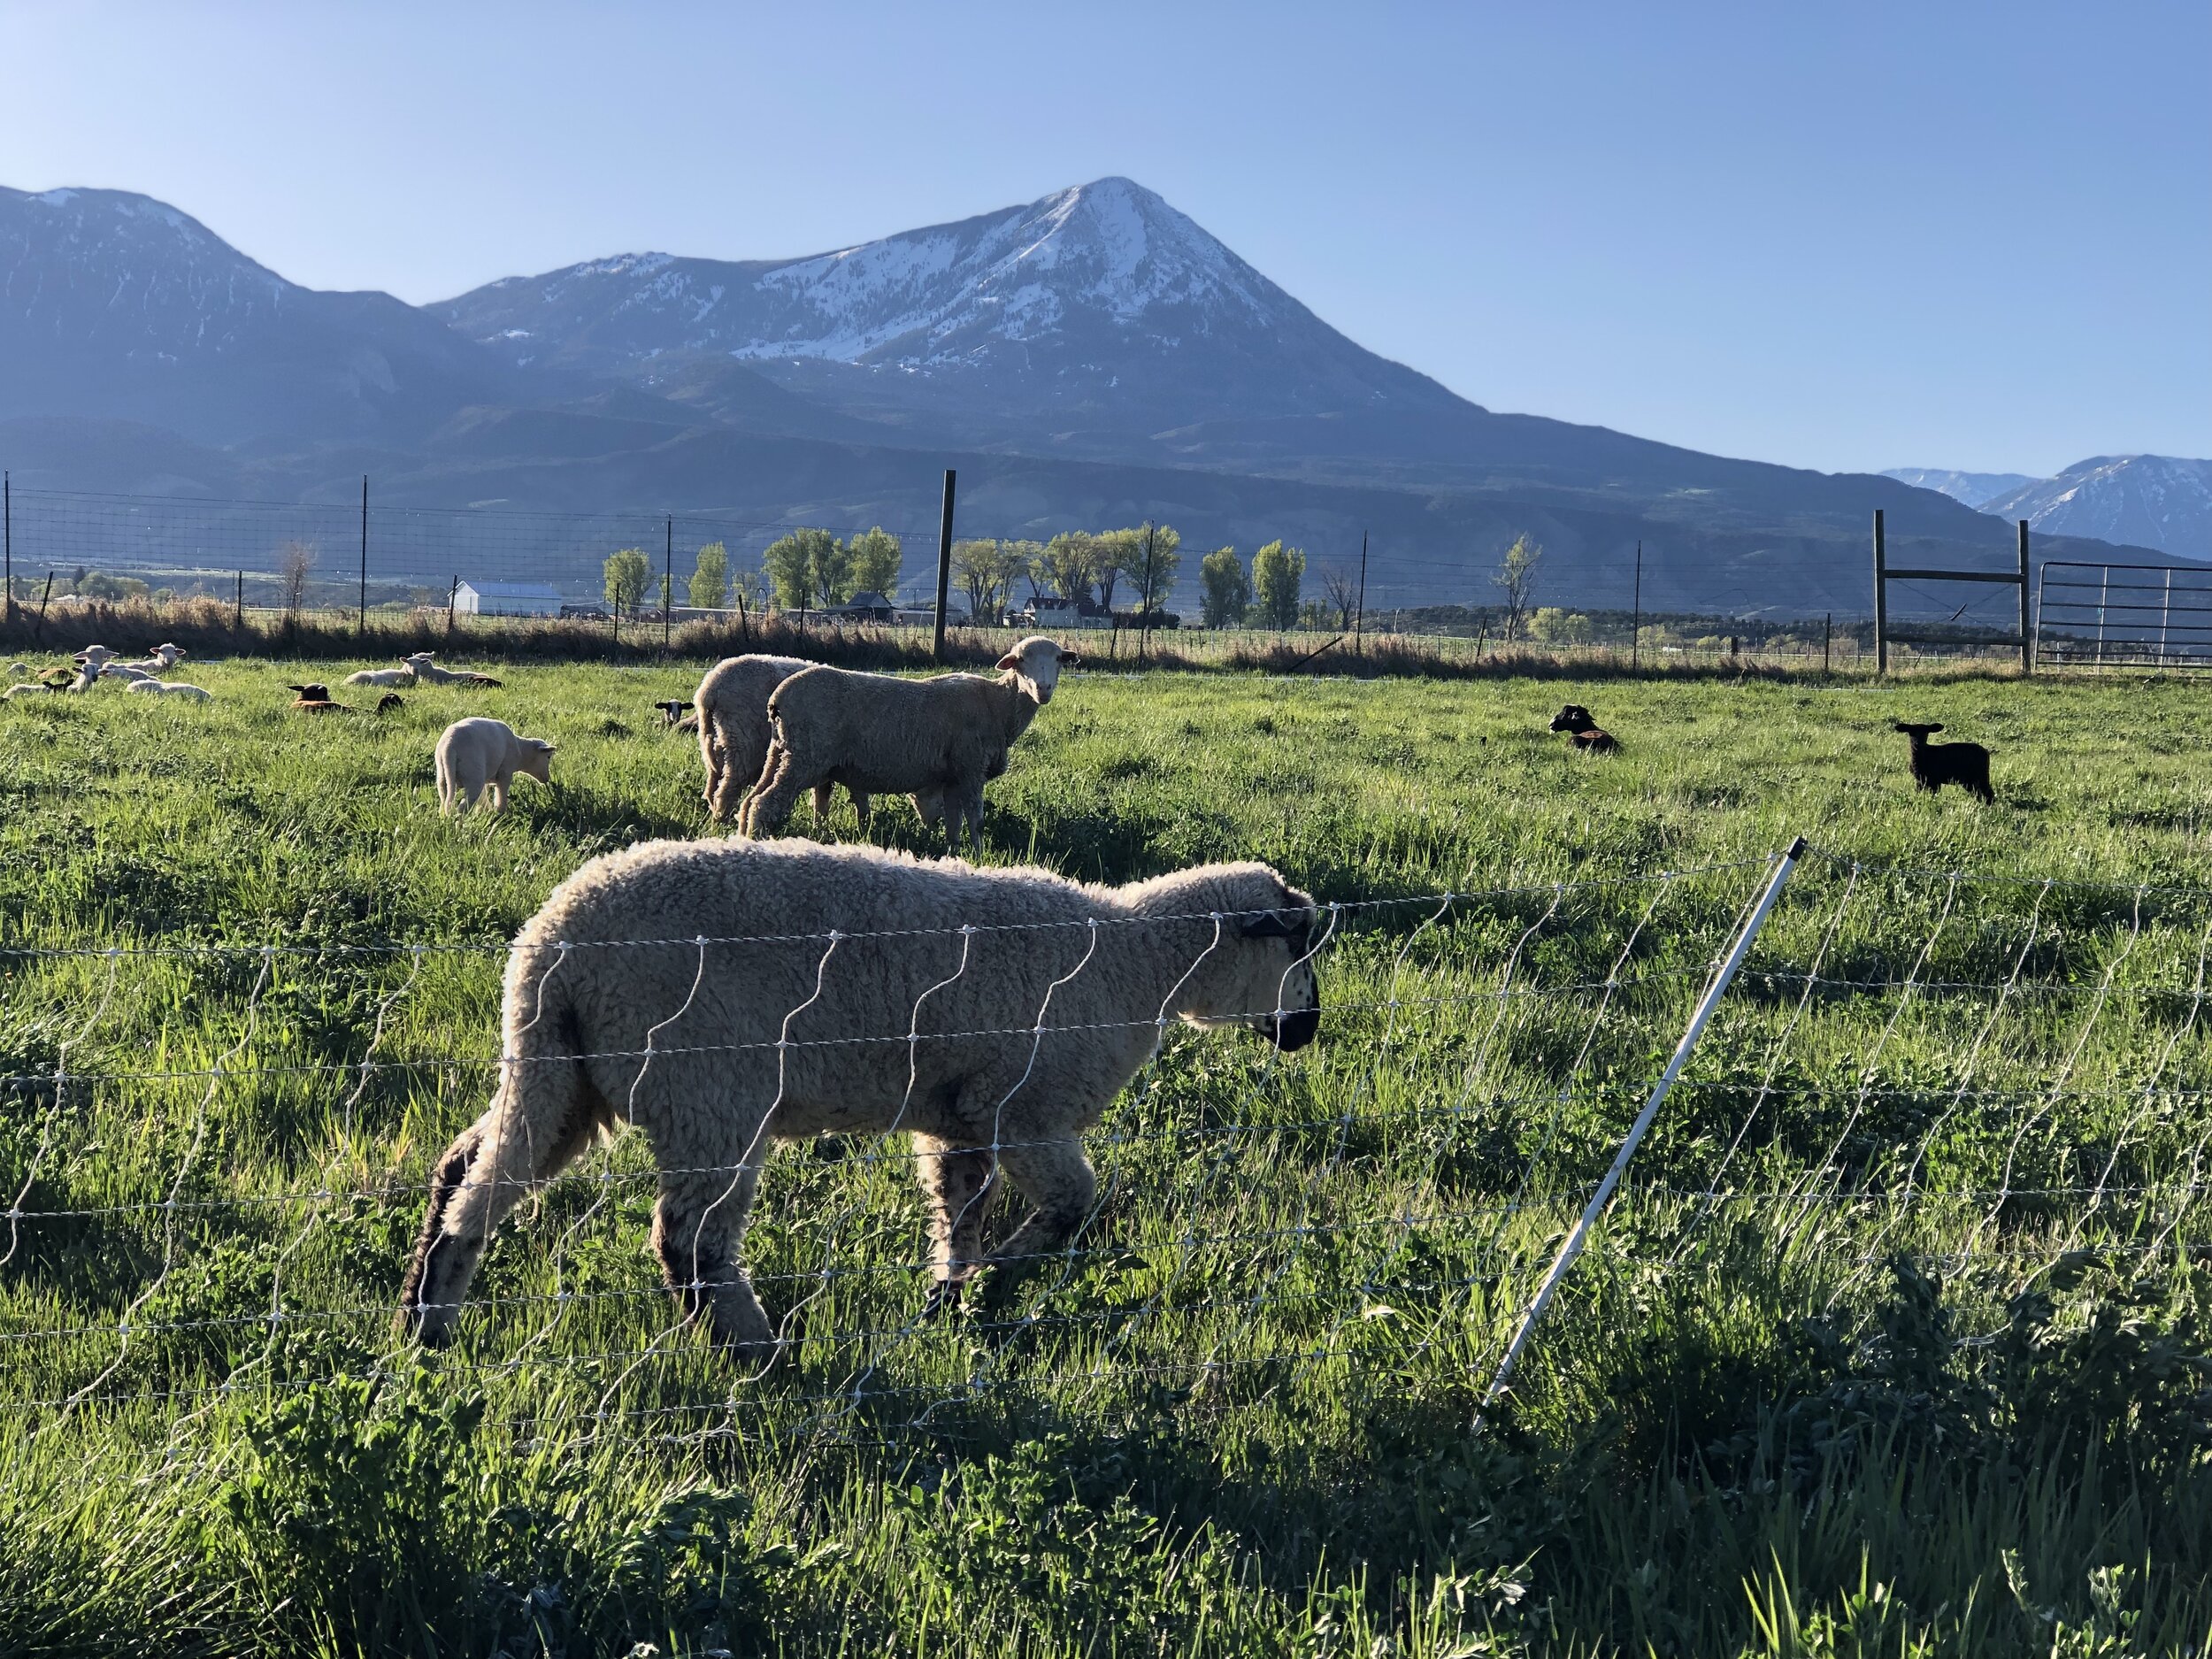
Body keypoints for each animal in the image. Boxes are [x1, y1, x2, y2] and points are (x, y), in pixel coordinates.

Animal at [399, 837, 1322, 1357]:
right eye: (1297, 947)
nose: (1308, 1028)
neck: (1138, 963)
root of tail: (551, 945)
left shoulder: (962, 1115)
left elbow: (959, 1213)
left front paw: (951, 1299)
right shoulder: (1024, 1109)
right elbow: (1074, 1207)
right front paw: (999, 1283)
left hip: (561, 1073)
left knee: (468, 1173)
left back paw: (427, 1320)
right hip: (711, 1090)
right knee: (689, 1241)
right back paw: (760, 1354)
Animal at [435, 716, 555, 813]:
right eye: (548, 757)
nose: (547, 779)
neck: (521, 752)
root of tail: (449, 746)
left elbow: (483, 796)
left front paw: (484, 812)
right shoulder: (505, 771)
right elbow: (501, 794)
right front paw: (499, 813)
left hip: (443, 775)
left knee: (444, 801)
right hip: (473, 774)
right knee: (462, 808)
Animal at [742, 637, 1078, 853]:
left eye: (1058, 659)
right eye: (1020, 661)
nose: (1043, 689)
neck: (997, 704)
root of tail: (777, 700)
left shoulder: (953, 775)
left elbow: (954, 821)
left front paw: (954, 853)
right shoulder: (971, 768)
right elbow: (976, 820)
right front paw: (979, 855)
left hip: (782, 751)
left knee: (751, 799)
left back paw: (742, 836)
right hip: (804, 758)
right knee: (765, 803)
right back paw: (755, 842)